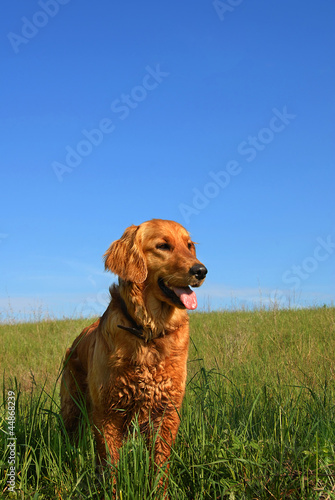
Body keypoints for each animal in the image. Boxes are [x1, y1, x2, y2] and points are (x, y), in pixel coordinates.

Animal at [60, 221, 207, 482]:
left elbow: (159, 468)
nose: (201, 270)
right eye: (163, 246)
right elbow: (110, 468)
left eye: (189, 245)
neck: (149, 332)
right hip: (71, 407)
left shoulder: (166, 412)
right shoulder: (107, 413)